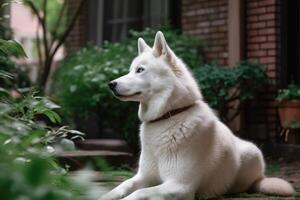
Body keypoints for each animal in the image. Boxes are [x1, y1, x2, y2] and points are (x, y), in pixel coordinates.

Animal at [102, 31, 294, 200]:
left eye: (140, 70)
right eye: (131, 70)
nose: (111, 84)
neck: (168, 116)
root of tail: (261, 177)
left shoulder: (180, 185)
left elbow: (140, 192)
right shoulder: (143, 177)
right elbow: (123, 185)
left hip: (251, 154)